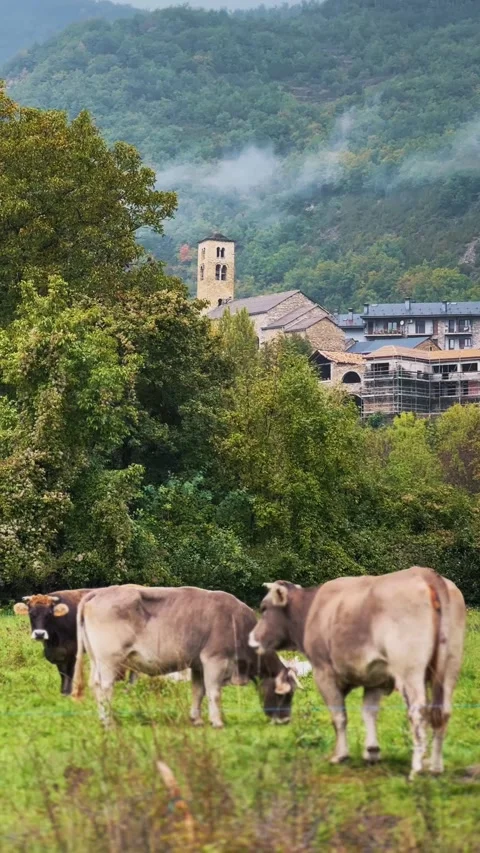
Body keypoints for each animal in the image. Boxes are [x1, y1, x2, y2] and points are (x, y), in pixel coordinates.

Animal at [70, 585, 300, 727]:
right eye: (286, 695)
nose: (286, 721)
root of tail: (99, 592)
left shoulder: (198, 664)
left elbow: (198, 692)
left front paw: (196, 719)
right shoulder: (214, 660)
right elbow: (214, 693)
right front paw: (217, 722)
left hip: (96, 660)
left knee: (95, 685)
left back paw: (103, 719)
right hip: (109, 660)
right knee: (105, 687)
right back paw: (108, 721)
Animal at [248, 567, 466, 779]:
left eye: (264, 608)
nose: (251, 638)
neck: (311, 610)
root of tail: (425, 573)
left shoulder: (323, 672)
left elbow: (338, 716)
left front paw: (340, 755)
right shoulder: (376, 678)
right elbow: (369, 712)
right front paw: (372, 752)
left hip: (410, 670)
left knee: (419, 712)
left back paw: (417, 768)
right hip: (450, 667)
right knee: (442, 712)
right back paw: (436, 767)